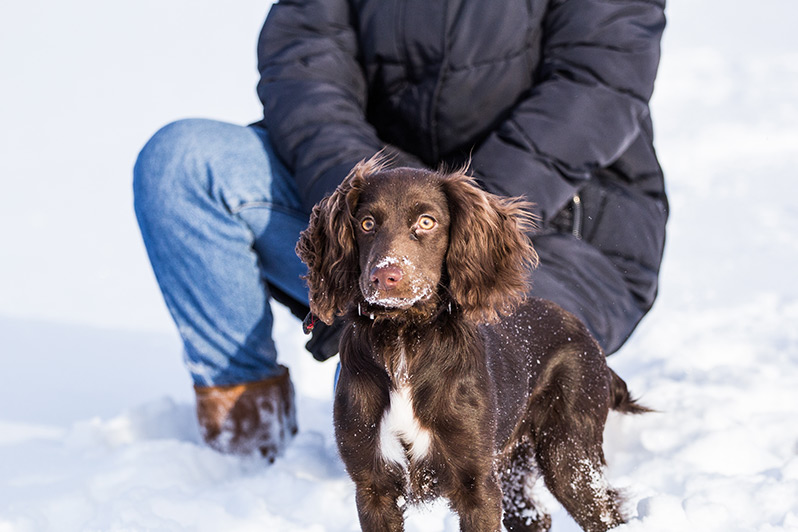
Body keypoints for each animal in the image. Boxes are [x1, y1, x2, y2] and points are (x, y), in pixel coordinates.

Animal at [296, 160, 648, 528]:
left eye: (427, 221)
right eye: (366, 223)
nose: (385, 277)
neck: (405, 338)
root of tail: (585, 334)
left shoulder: (477, 485)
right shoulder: (372, 487)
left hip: (569, 455)